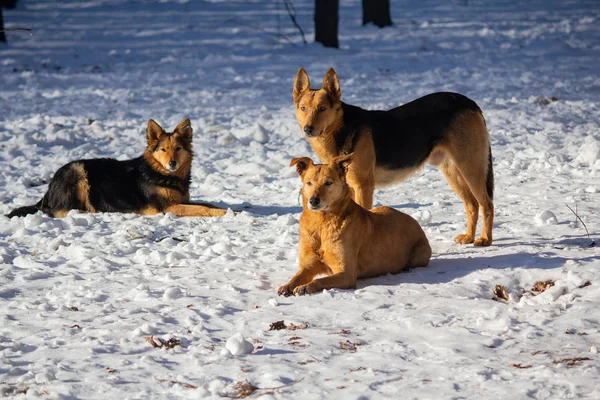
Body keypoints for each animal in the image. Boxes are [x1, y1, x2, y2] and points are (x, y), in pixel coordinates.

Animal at [7, 119, 227, 219]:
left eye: (178, 149)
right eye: (163, 149)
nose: (172, 163)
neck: (162, 174)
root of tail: (49, 188)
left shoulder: (181, 200)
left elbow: (206, 203)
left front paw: (226, 209)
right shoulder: (167, 208)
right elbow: (201, 208)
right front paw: (222, 213)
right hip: (78, 172)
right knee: (58, 211)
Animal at [278, 154, 432, 296]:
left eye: (328, 183)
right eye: (309, 183)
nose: (313, 201)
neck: (322, 223)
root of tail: (415, 222)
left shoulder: (347, 274)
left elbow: (319, 280)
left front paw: (305, 287)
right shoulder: (309, 265)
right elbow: (298, 276)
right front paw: (287, 285)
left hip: (420, 252)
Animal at [292, 69, 494, 247]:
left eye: (322, 109)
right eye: (303, 109)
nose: (308, 129)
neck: (341, 129)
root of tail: (469, 102)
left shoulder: (363, 186)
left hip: (470, 168)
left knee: (487, 205)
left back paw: (484, 239)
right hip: (452, 171)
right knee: (472, 205)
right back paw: (468, 237)